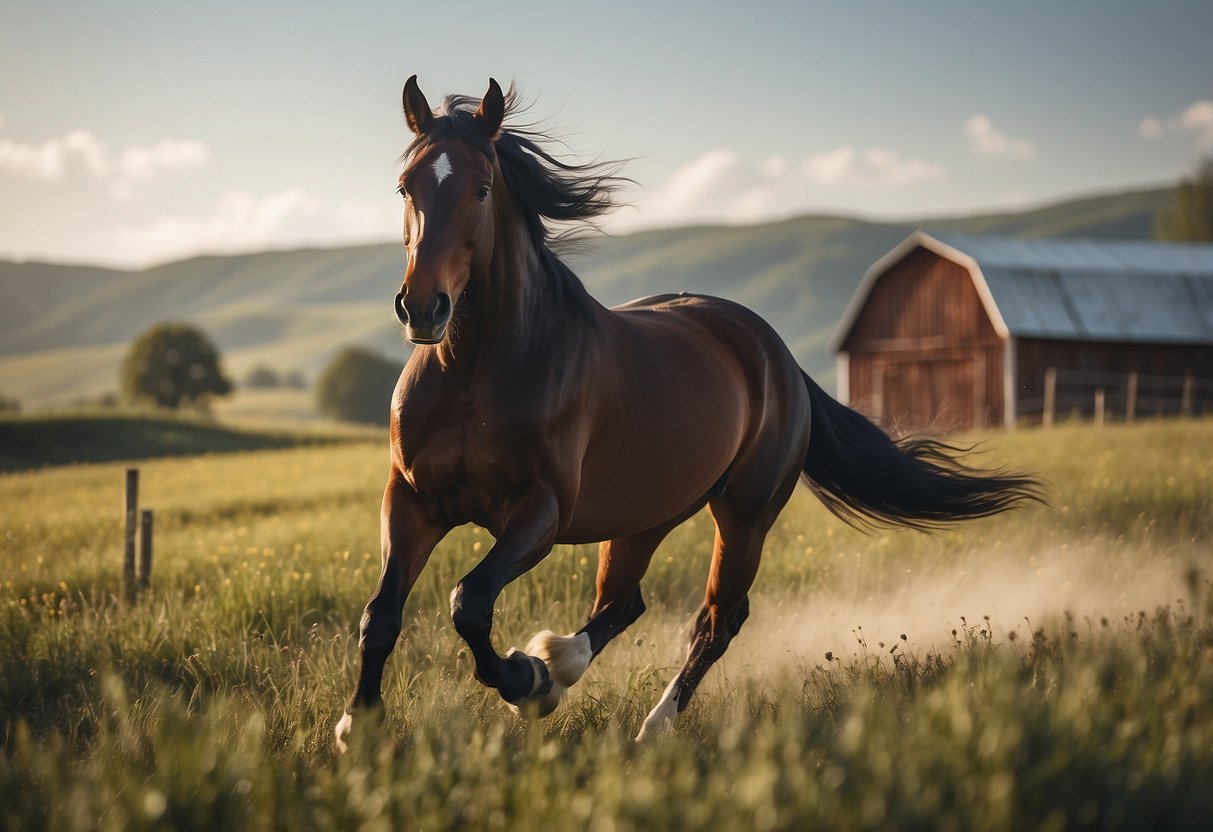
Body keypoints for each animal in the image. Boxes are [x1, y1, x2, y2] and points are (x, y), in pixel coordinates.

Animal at [337, 78, 1038, 751]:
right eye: (406, 186)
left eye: (482, 188)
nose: (422, 307)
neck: (476, 373)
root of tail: (778, 355)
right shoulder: (413, 500)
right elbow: (382, 613)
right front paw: (359, 727)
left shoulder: (541, 510)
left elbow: (470, 602)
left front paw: (523, 682)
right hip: (647, 515)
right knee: (627, 603)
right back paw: (563, 664)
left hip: (745, 516)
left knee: (718, 620)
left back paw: (638, 720)